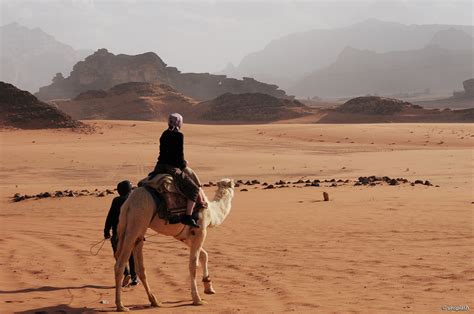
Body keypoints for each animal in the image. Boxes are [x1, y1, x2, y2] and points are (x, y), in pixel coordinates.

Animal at [113, 178, 235, 310]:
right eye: (232, 185)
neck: (212, 213)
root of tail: (128, 204)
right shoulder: (200, 231)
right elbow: (193, 265)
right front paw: (197, 299)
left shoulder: (185, 236)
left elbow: (204, 255)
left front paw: (208, 287)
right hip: (137, 221)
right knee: (120, 265)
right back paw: (121, 305)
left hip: (134, 227)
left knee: (140, 267)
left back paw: (154, 301)